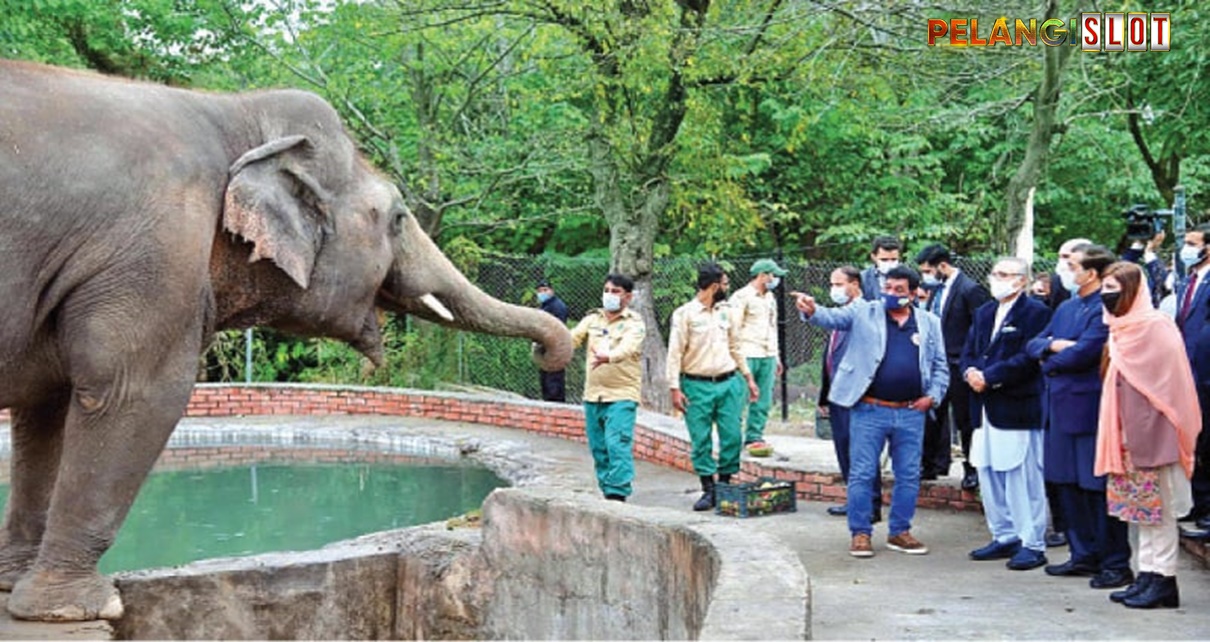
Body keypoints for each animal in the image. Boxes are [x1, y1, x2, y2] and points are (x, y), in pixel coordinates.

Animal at [0, 60, 573, 623]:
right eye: (397, 219)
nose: (545, 353)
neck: (233, 111)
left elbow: (48, 408)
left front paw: (16, 589)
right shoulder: (155, 252)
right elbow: (131, 393)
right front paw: (79, 607)